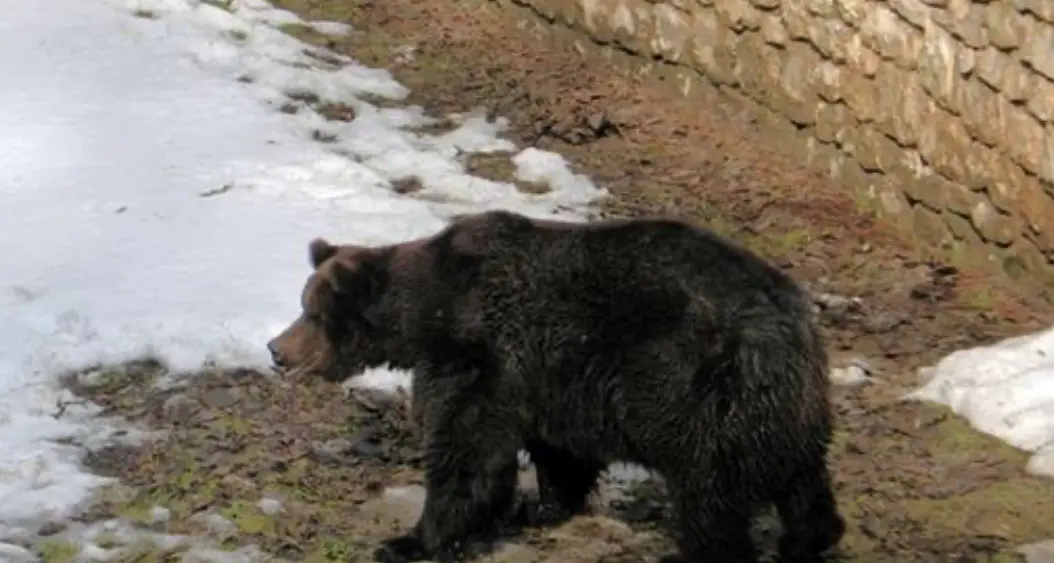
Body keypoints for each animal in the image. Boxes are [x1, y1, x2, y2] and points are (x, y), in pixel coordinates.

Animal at [267, 209, 846, 563]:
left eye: (313, 313)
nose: (276, 349)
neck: (429, 315)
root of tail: (790, 321)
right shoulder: (552, 381)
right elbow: (560, 454)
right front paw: (540, 507)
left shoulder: (483, 357)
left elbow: (466, 454)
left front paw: (412, 539)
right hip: (783, 411)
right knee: (803, 482)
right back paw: (811, 539)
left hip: (702, 395)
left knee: (709, 498)